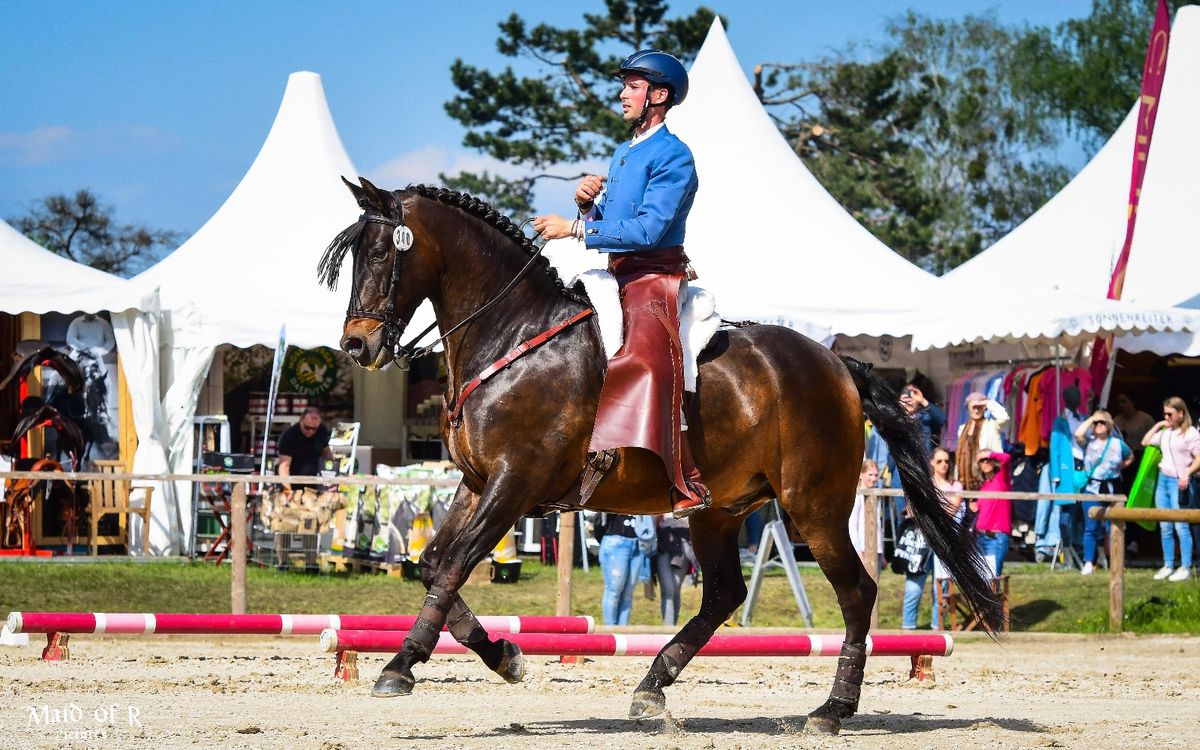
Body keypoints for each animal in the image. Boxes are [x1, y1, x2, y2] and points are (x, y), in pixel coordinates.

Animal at [321, 176, 1003, 729]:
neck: (511, 335)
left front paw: (401, 667)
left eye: (380, 253)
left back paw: (832, 710)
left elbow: (455, 565)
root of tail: (838, 364)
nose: (356, 346)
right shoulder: (474, 480)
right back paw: (653, 685)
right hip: (719, 508)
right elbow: (434, 563)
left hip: (814, 506)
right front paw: (505, 655)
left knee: (856, 592)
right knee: (725, 594)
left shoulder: (515, 482)